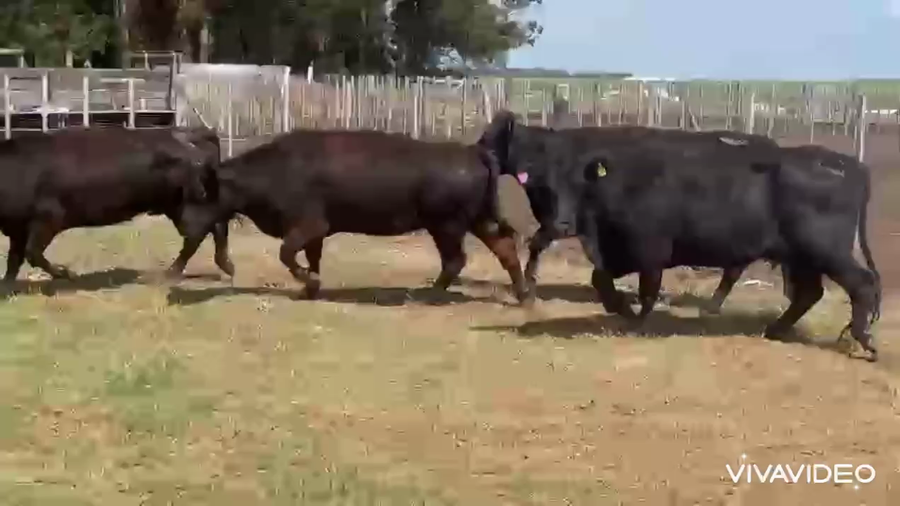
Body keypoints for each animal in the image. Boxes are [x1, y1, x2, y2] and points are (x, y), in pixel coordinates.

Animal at [0, 126, 235, 287]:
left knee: (199, 234)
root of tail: (190, 132)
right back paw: (224, 264)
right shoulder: (17, 229)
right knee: (214, 227)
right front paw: (6, 288)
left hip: (189, 205)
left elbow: (31, 253)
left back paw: (171, 273)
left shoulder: (47, 219)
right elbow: (14, 259)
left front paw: (65, 273)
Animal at [177, 128, 530, 303]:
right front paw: (310, 289)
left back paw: (425, 294)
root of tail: (471, 151)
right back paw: (524, 296)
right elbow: (310, 257)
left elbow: (287, 253)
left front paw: (311, 282)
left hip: (447, 226)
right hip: (477, 221)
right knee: (505, 248)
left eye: (201, 194)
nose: (185, 227)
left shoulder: (307, 226)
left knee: (456, 260)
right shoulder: (316, 232)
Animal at [478, 115, 790, 313]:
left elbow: (537, 245)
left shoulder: (565, 223)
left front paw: (529, 290)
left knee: (735, 271)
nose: (475, 150)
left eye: (490, 140)